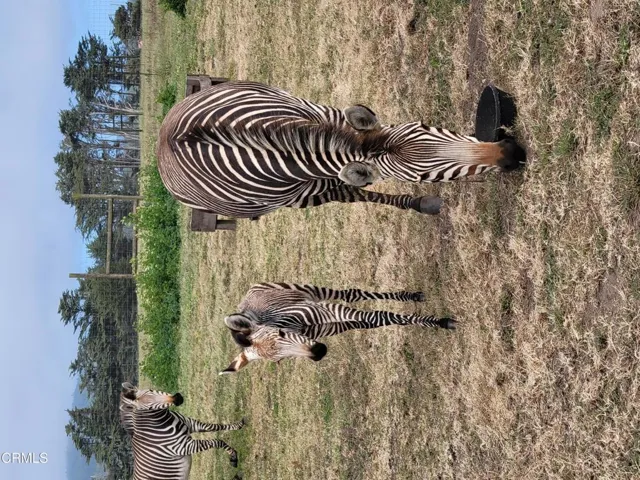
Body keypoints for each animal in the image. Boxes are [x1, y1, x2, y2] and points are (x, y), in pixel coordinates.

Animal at [157, 81, 524, 219]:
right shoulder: (315, 191)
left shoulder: (329, 116)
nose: (511, 153)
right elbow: (361, 192)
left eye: (426, 126)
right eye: (423, 176)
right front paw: (422, 202)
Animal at [219, 282, 456, 374]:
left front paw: (440, 322)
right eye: (280, 360)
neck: (298, 325)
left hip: (312, 292)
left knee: (352, 294)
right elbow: (377, 320)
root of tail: (245, 298)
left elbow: (378, 314)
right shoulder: (330, 324)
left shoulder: (325, 309)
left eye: (281, 333)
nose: (319, 351)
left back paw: (410, 296)